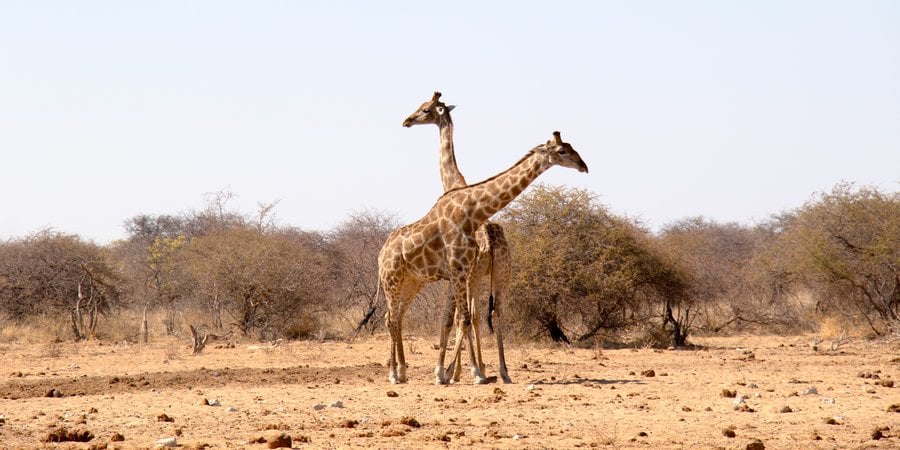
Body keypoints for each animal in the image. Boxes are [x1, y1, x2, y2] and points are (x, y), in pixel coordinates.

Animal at [379, 131, 588, 384]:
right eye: (561, 151)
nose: (584, 166)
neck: (472, 212)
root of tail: (381, 252)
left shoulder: (460, 272)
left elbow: (457, 319)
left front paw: (449, 372)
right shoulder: (459, 271)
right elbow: (465, 318)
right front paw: (473, 373)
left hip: (413, 281)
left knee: (396, 316)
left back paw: (402, 372)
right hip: (392, 280)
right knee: (391, 318)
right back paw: (393, 374)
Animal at [402, 91, 513, 383]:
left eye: (425, 109)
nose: (407, 121)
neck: (454, 183)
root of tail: (491, 242)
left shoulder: (457, 274)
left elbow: (454, 317)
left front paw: (454, 370)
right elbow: (471, 317)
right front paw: (476, 368)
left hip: (473, 274)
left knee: (469, 316)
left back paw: (459, 371)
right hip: (501, 273)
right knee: (495, 312)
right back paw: (503, 371)